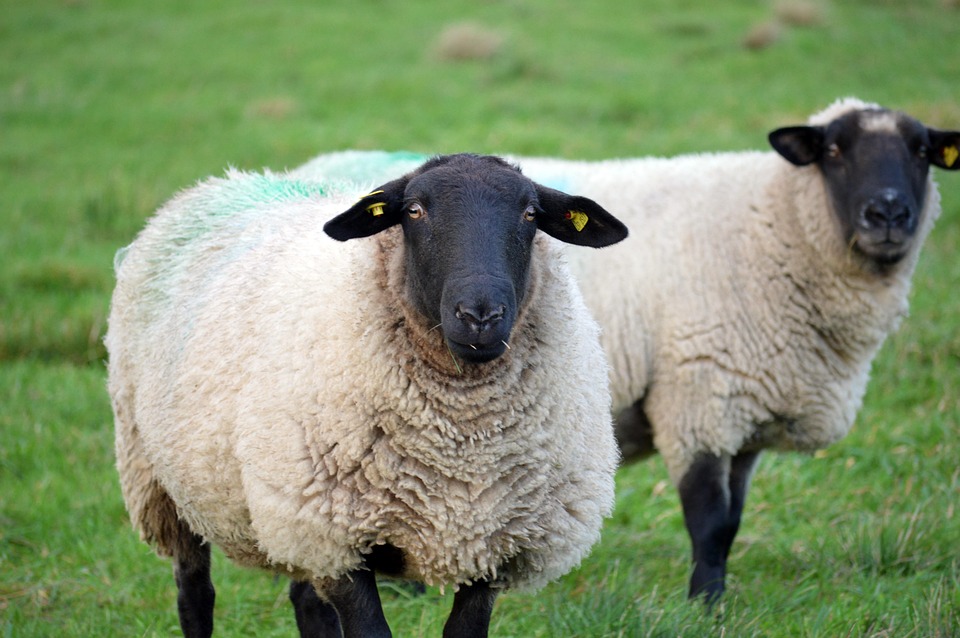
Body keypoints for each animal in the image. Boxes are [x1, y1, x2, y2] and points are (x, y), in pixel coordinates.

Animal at [106, 153, 629, 638]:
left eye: (530, 213)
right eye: (414, 210)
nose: (480, 315)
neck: (460, 448)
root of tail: (220, 182)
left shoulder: (493, 551)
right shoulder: (340, 543)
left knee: (307, 603)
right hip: (163, 481)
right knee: (195, 593)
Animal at [289, 99, 960, 603]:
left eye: (922, 153)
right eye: (835, 152)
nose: (888, 214)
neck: (771, 224)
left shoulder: (744, 408)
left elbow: (733, 519)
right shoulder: (700, 393)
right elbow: (710, 520)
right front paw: (705, 606)